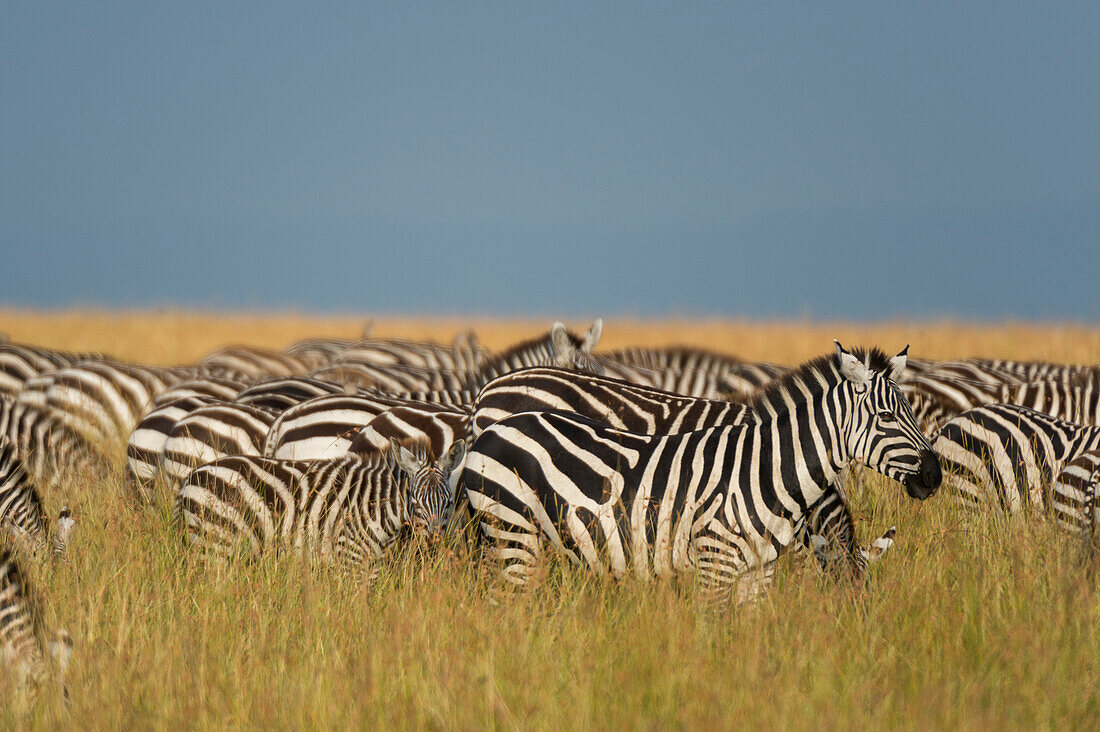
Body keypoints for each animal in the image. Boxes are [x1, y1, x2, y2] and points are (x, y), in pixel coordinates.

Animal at [174, 440, 455, 576]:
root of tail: (191, 476)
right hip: (216, 545)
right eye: (415, 500)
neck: (373, 504)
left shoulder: (373, 563)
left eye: (448, 502)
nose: (435, 540)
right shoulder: (349, 557)